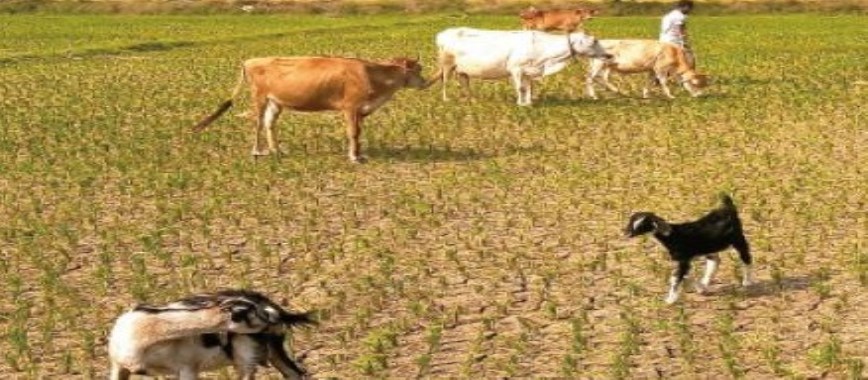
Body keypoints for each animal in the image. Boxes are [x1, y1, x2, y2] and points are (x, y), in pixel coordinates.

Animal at [109, 290, 316, 378]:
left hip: (246, 358)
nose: (273, 318)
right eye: (253, 313)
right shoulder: (118, 366)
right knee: (295, 374)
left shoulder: (187, 369)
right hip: (273, 353)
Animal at [195, 56, 428, 162]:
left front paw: (359, 154)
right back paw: (257, 151)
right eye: (418, 70)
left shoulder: (360, 110)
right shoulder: (350, 107)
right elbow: (353, 133)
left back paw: (276, 150)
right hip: (259, 97)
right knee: (258, 123)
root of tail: (250, 60)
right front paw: (354, 157)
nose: (425, 82)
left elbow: (359, 133)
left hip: (275, 101)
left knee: (269, 123)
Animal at [428, 27, 612, 105]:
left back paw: (471, 99)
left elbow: (529, 87)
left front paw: (529, 102)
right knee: (444, 81)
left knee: (464, 82)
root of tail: (443, 33)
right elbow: (520, 88)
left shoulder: (529, 71)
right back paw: (446, 99)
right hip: (447, 64)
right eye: (594, 41)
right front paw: (520, 103)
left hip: (462, 69)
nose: (609, 55)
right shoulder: (515, 69)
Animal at [624, 194, 752, 304]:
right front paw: (701, 289)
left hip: (738, 239)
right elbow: (685, 275)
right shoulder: (686, 260)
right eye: (631, 222)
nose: (627, 234)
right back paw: (705, 281)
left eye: (642, 226)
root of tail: (728, 209)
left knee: (746, 258)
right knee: (715, 260)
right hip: (708, 247)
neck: (672, 236)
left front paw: (670, 300)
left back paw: (747, 282)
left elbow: (675, 278)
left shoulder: (683, 259)